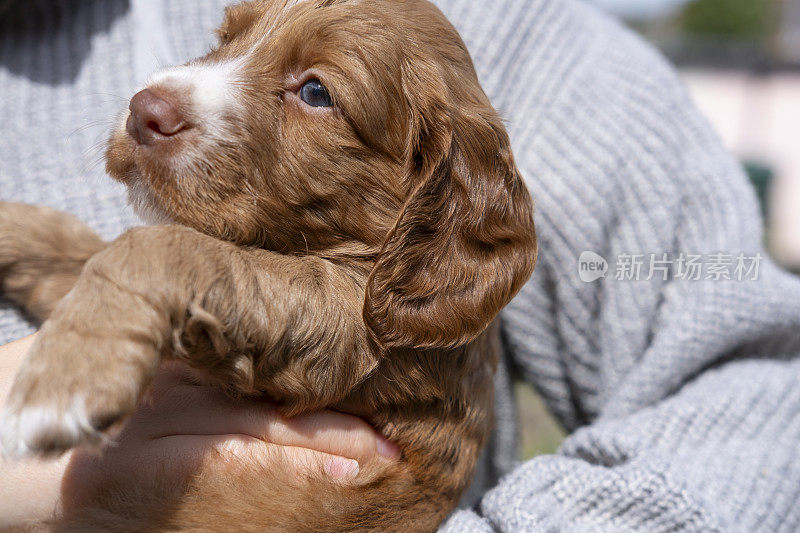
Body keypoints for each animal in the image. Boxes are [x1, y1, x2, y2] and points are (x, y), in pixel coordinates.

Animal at [1, 0, 536, 528]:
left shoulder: (352, 325)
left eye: (316, 92)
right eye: (224, 38)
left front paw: (68, 376)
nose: (143, 109)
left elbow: (161, 246)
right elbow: (81, 249)